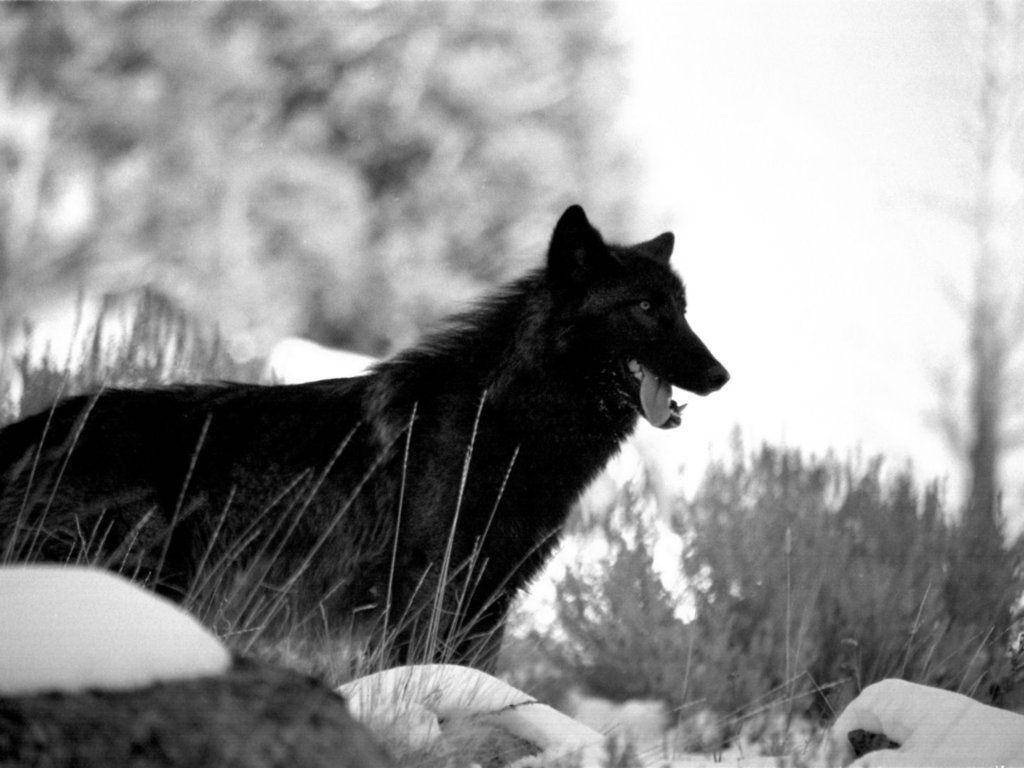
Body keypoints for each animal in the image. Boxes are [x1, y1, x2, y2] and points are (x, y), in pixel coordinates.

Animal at [0, 205, 729, 667]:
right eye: (646, 308)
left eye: (683, 310)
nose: (722, 375)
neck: (503, 422)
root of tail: (41, 423)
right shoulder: (430, 589)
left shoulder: (490, 598)